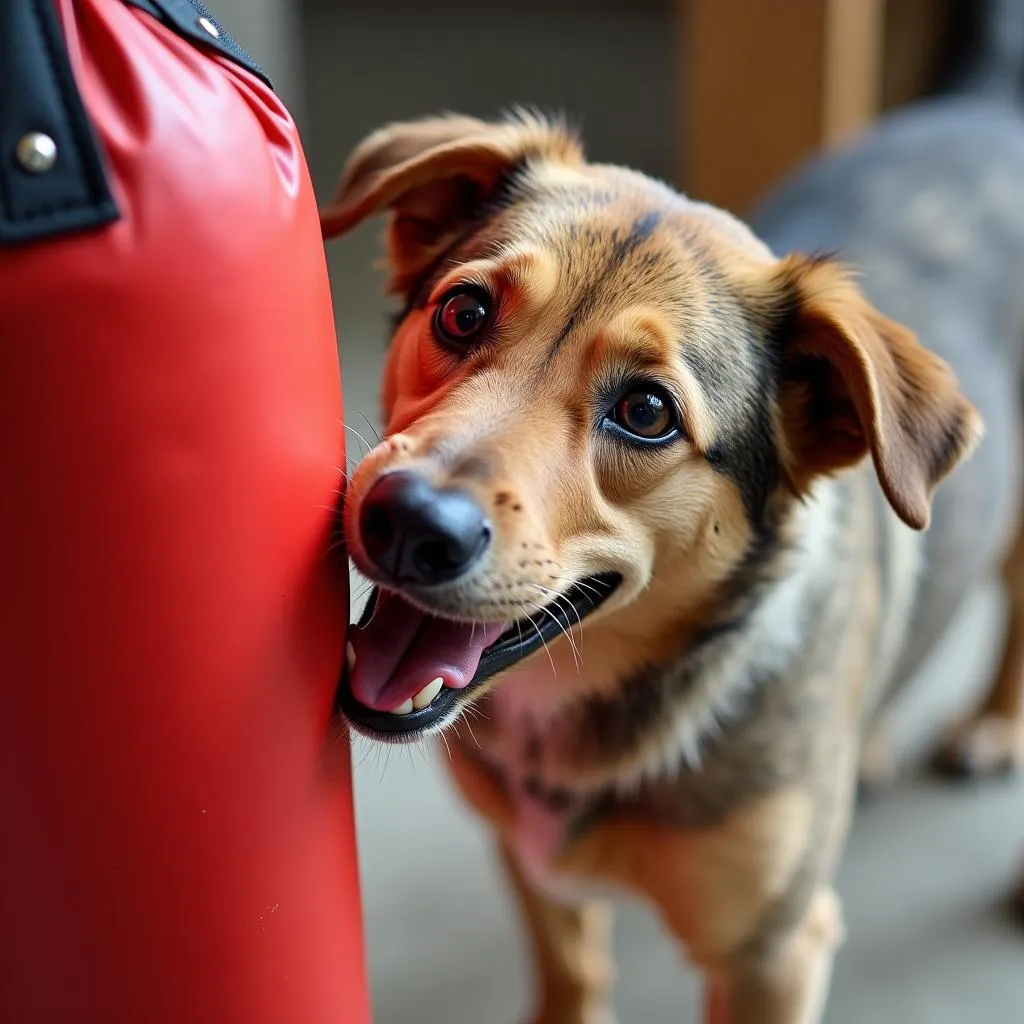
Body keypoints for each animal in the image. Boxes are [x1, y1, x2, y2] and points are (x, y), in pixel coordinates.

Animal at [325, 39, 1024, 1024]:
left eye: (648, 412)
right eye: (462, 312)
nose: (407, 523)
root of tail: (991, 102)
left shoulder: (774, 954)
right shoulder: (532, 863)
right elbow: (573, 971)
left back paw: (993, 730)